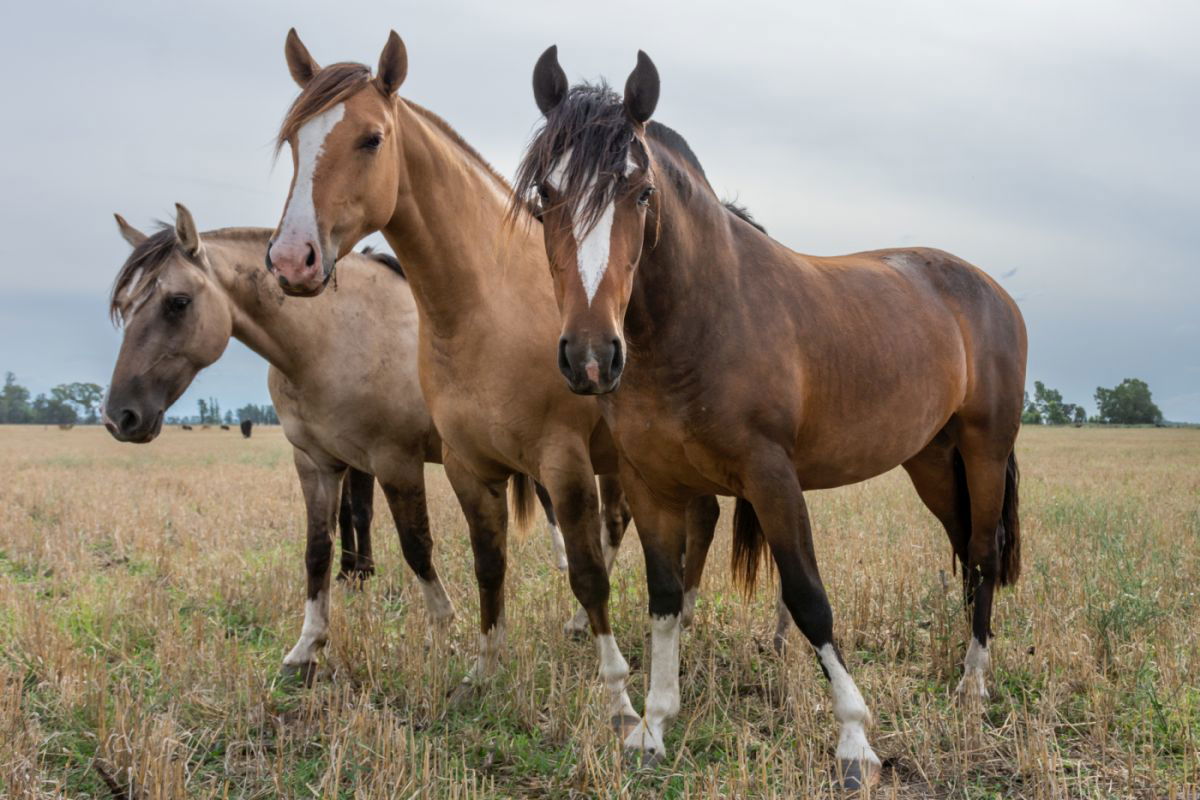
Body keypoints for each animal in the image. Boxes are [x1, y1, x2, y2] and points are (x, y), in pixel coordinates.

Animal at [100, 209, 619, 681]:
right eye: (125, 305)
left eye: (177, 302)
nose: (120, 417)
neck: (332, 338)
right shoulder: (317, 463)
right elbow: (317, 549)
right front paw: (308, 645)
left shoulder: (394, 461)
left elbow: (415, 545)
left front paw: (442, 626)